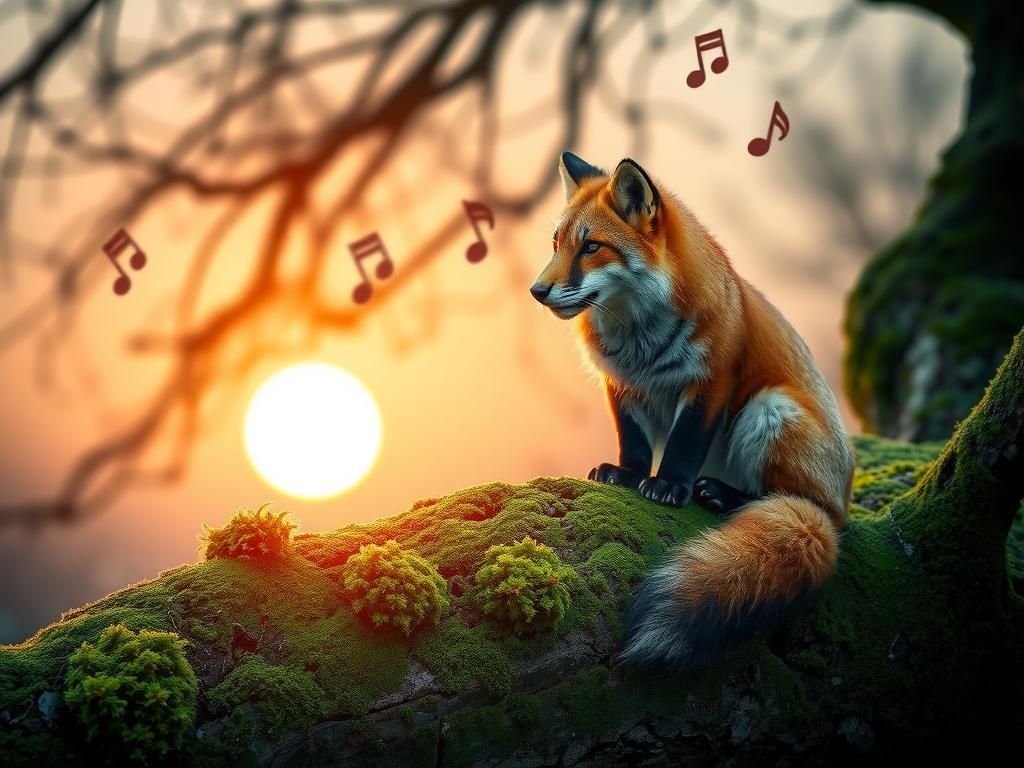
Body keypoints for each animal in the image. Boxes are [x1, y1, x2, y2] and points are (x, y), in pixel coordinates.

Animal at [530, 152, 855, 671]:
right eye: (557, 245)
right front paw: (625, 476)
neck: (641, 341)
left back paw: (725, 496)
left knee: (798, 504)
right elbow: (634, 445)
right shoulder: (622, 385)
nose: (537, 290)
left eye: (592, 247)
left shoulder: (710, 381)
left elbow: (683, 445)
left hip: (770, 410)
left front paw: (667, 487)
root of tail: (843, 496)